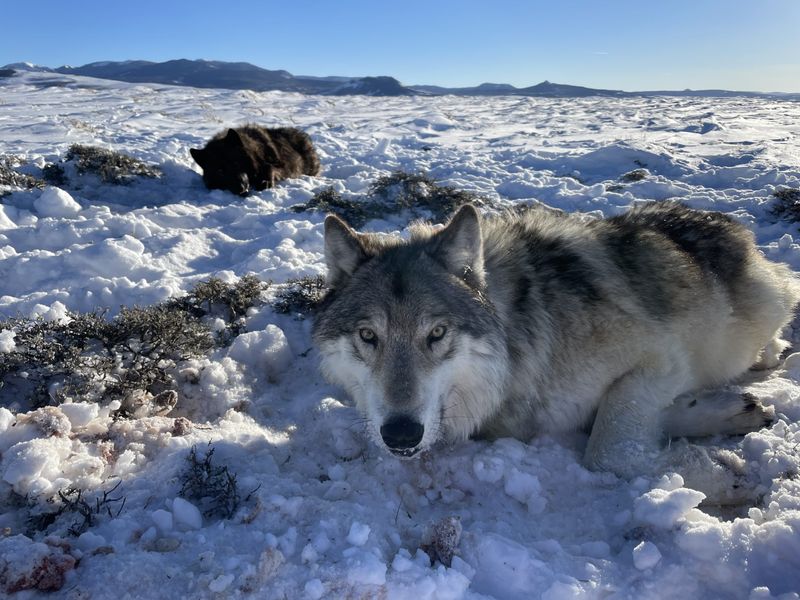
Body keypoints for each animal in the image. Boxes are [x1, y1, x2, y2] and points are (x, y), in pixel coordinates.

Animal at [191, 126, 322, 196]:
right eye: (220, 171)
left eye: (236, 163)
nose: (241, 188)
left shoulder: (278, 165)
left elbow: (269, 168)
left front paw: (265, 184)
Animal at [312, 202, 800, 502]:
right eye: (368, 336)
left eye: (436, 333)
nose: (400, 435)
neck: (520, 340)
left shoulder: (660, 357)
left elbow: (607, 449)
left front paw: (719, 478)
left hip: (765, 305)